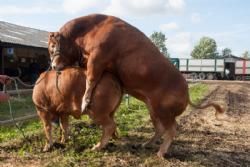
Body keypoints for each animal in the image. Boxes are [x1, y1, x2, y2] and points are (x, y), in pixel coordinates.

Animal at [47, 13, 224, 157]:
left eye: (52, 47)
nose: (54, 66)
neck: (87, 35)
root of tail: (187, 92)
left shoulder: (98, 57)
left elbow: (91, 78)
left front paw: (84, 104)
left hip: (164, 110)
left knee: (172, 128)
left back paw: (160, 154)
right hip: (153, 109)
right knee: (160, 128)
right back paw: (144, 145)